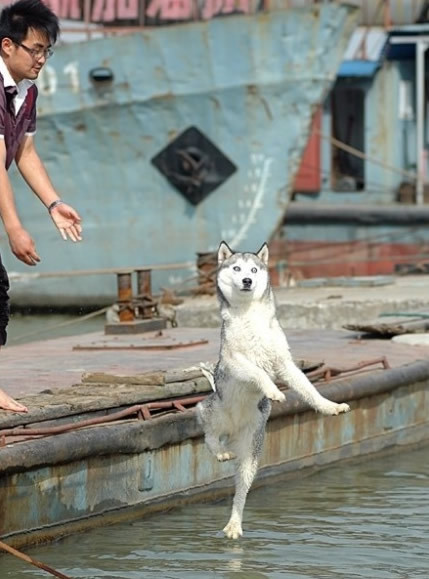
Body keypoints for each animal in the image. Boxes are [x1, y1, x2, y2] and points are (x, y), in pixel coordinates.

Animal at [196, 240, 350, 540]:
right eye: (236, 268)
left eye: (254, 269)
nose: (247, 280)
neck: (250, 316)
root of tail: (233, 431)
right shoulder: (235, 362)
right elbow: (257, 372)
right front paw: (274, 392)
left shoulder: (285, 363)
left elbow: (309, 390)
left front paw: (330, 406)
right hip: (212, 412)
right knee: (209, 438)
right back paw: (220, 452)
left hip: (250, 455)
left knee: (240, 492)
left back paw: (234, 524)